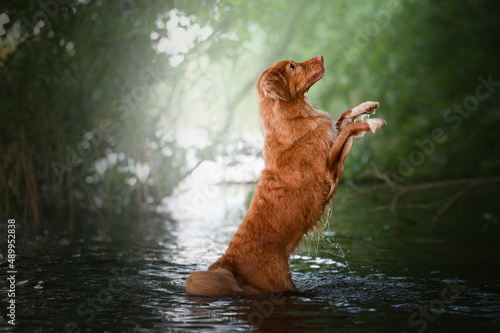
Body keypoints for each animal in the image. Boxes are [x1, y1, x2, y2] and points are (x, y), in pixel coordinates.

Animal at [186, 55, 384, 296]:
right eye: (292, 66)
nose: (321, 57)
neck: (292, 116)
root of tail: (228, 262)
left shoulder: (332, 147)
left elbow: (343, 119)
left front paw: (366, 106)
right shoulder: (329, 170)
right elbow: (347, 130)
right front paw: (372, 123)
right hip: (279, 282)